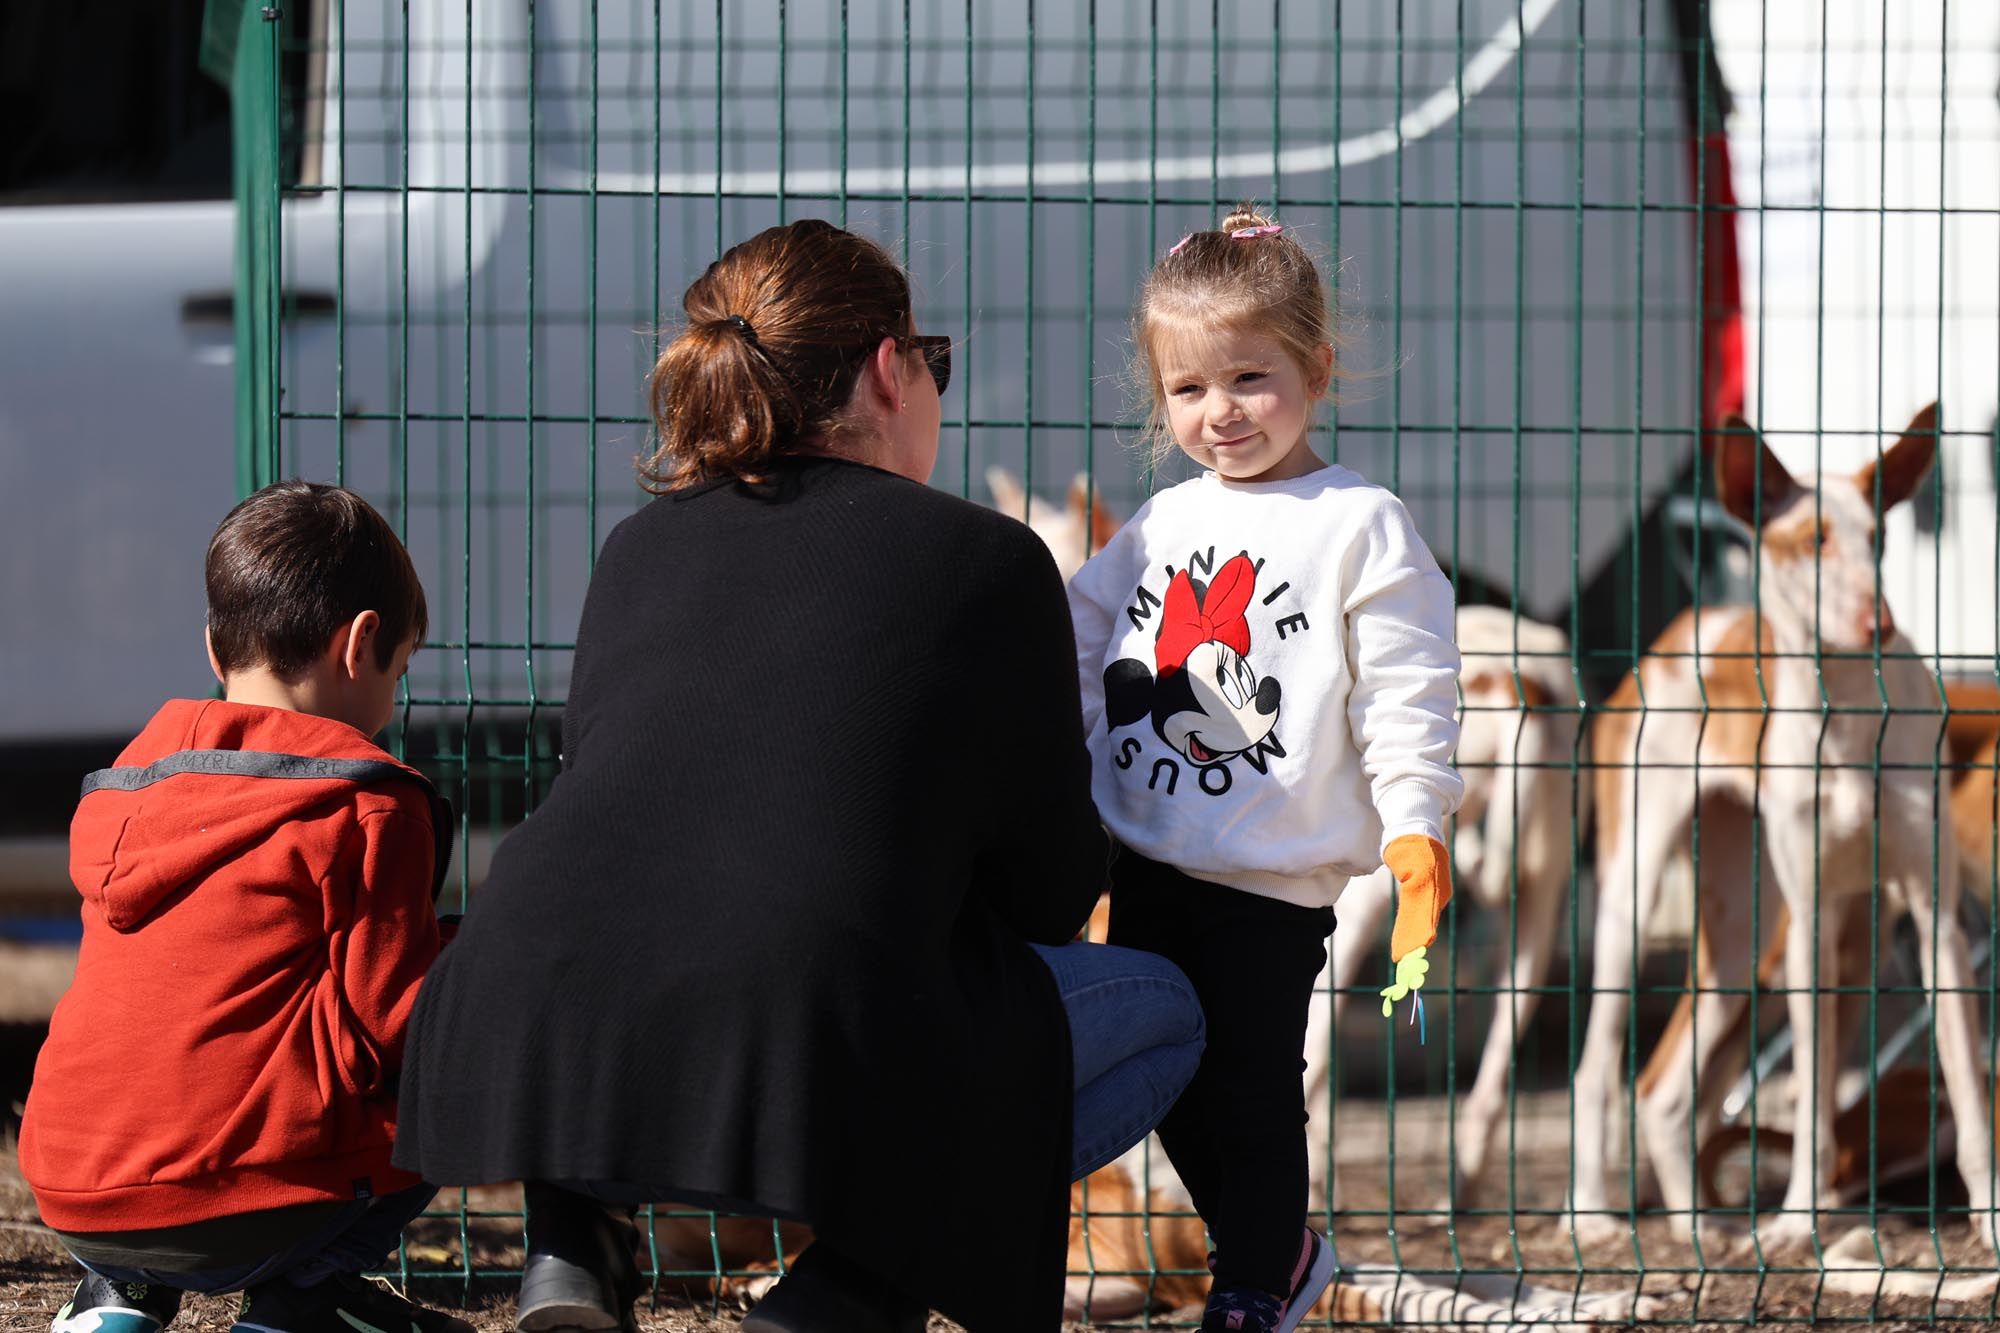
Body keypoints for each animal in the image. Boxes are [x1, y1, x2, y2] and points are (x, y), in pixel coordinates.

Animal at [1568, 402, 1992, 1248]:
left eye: (1879, 538)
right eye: (1811, 540)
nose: (1878, 621)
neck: (1850, 716)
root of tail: (1677, 634)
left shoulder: (1934, 923)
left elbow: (1963, 1085)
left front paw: (1989, 1218)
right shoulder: (1814, 926)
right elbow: (1818, 1097)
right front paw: (1799, 1219)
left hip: (1744, 935)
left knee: (1663, 1091)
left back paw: (1700, 1232)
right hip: (1635, 903)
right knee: (1597, 1068)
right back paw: (1594, 1215)